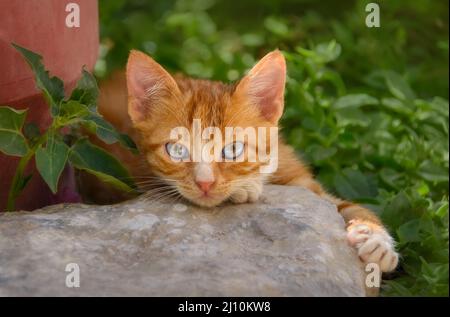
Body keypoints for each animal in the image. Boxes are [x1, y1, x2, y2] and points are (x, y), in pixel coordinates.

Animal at [94, 49, 398, 272]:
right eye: (177, 151)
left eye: (233, 150)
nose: (205, 183)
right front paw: (246, 188)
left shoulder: (303, 184)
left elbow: (349, 205)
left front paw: (376, 239)